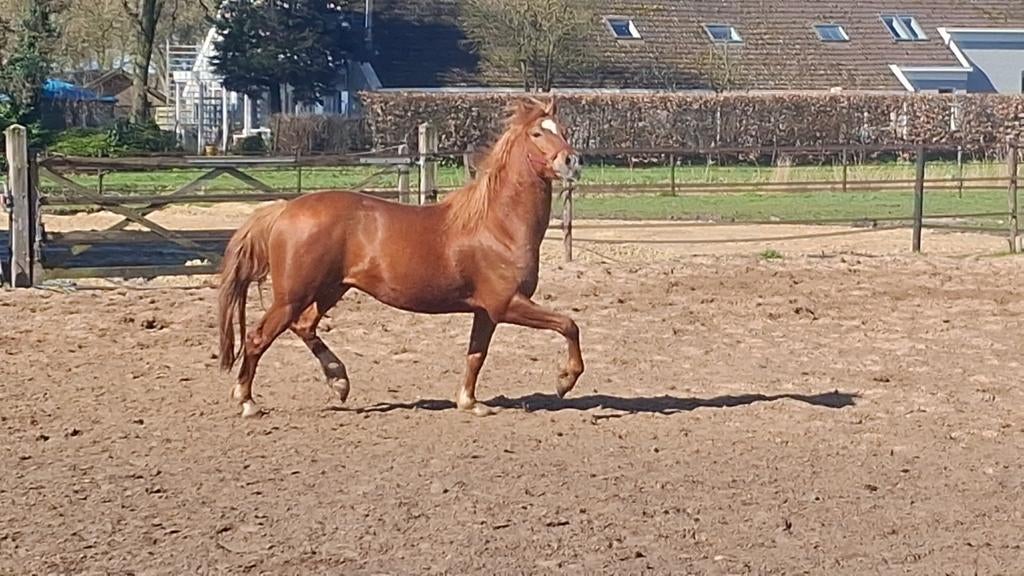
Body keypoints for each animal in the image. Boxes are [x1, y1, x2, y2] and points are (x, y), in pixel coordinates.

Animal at [216, 96, 584, 418]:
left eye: (563, 130)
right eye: (537, 133)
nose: (572, 162)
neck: (497, 225)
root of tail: (284, 209)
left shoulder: (486, 311)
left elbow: (476, 355)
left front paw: (469, 402)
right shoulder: (506, 303)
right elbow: (569, 325)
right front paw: (565, 381)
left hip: (330, 289)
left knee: (303, 326)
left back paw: (339, 381)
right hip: (293, 295)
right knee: (259, 337)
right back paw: (248, 401)